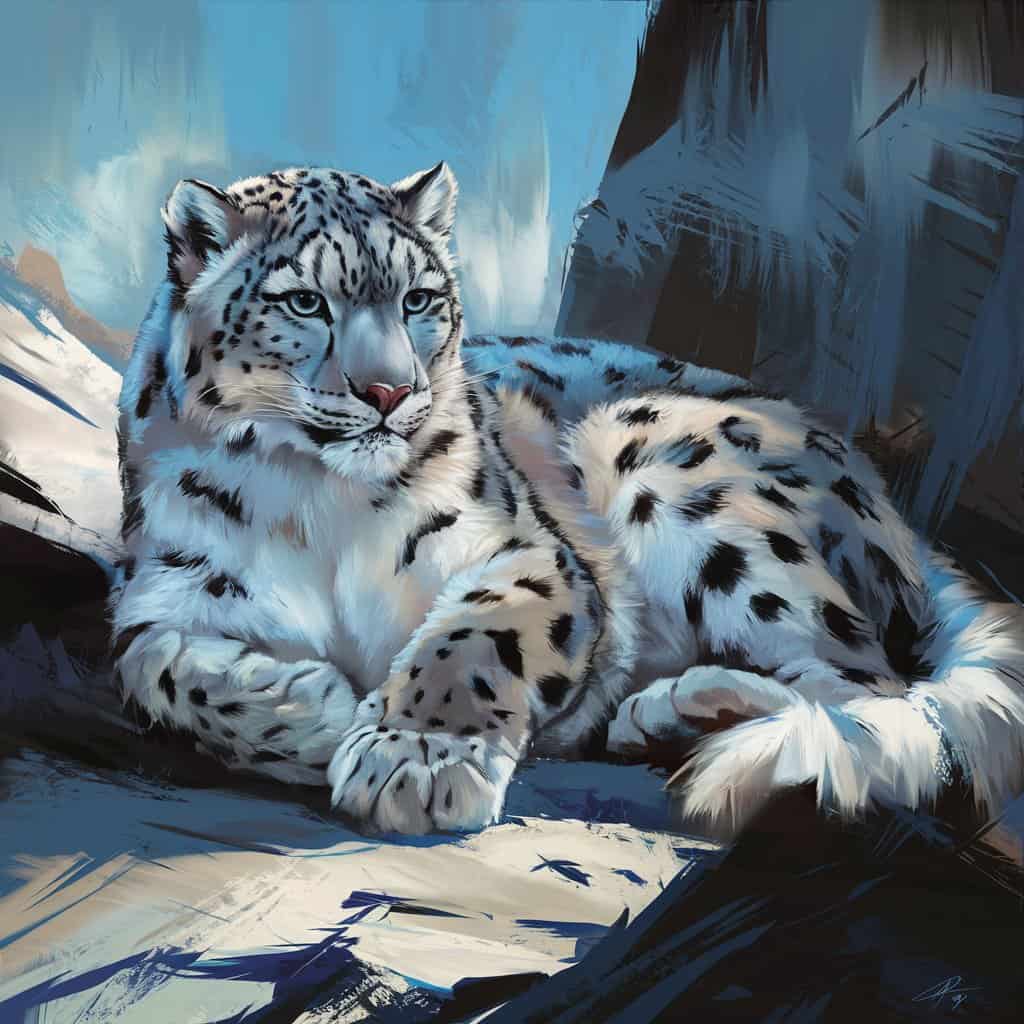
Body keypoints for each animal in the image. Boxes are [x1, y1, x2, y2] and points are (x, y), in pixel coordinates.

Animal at [110, 161, 1024, 838]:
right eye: (305, 301)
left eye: (418, 299)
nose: (388, 390)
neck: (319, 503)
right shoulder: (160, 589)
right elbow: (158, 669)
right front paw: (315, 713)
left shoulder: (527, 551)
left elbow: (475, 637)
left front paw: (416, 759)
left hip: (667, 465)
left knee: (865, 683)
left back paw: (688, 710)